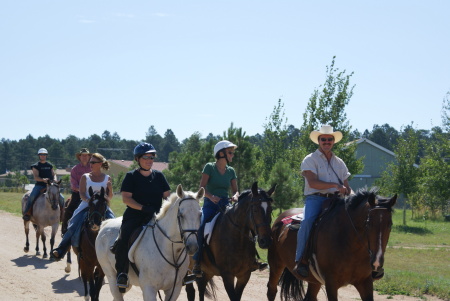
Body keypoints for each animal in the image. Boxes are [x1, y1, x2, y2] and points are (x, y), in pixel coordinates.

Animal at [268, 188, 398, 300]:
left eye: (390, 224)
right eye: (368, 223)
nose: (377, 263)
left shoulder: (365, 281)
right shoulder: (331, 283)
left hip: (314, 280)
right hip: (276, 265)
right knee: (271, 291)